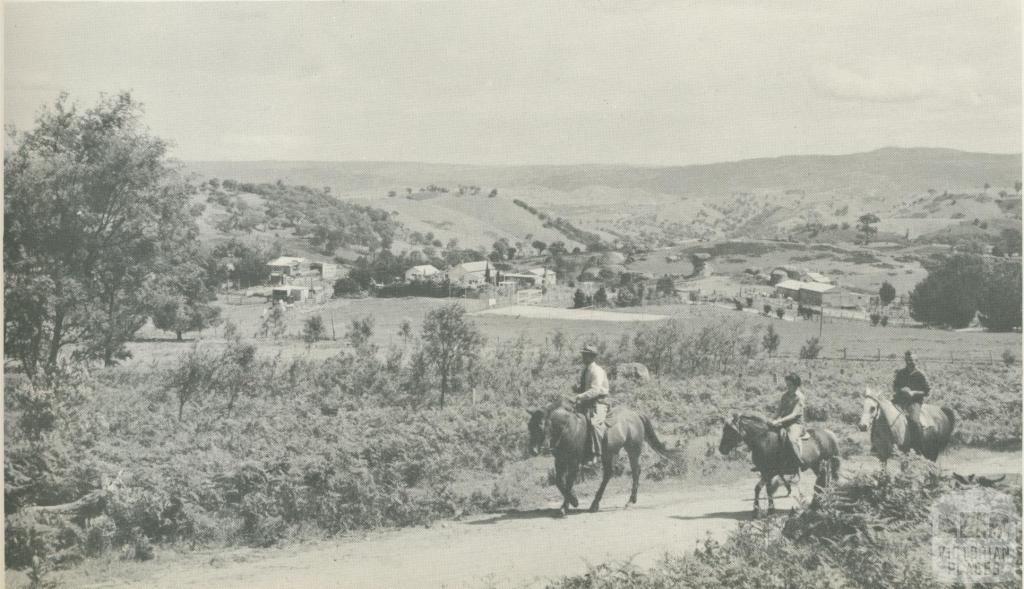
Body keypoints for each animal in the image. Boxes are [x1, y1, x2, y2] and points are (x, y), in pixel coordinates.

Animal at [528, 401, 679, 516]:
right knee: (608, 475)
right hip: (609, 454)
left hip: (633, 450)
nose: (533, 451)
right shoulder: (560, 461)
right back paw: (595, 504)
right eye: (529, 426)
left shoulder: (574, 463)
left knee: (635, 471)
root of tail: (634, 413)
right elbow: (560, 482)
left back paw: (630, 501)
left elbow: (569, 483)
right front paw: (571, 501)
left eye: (541, 426)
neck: (569, 429)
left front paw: (570, 504)